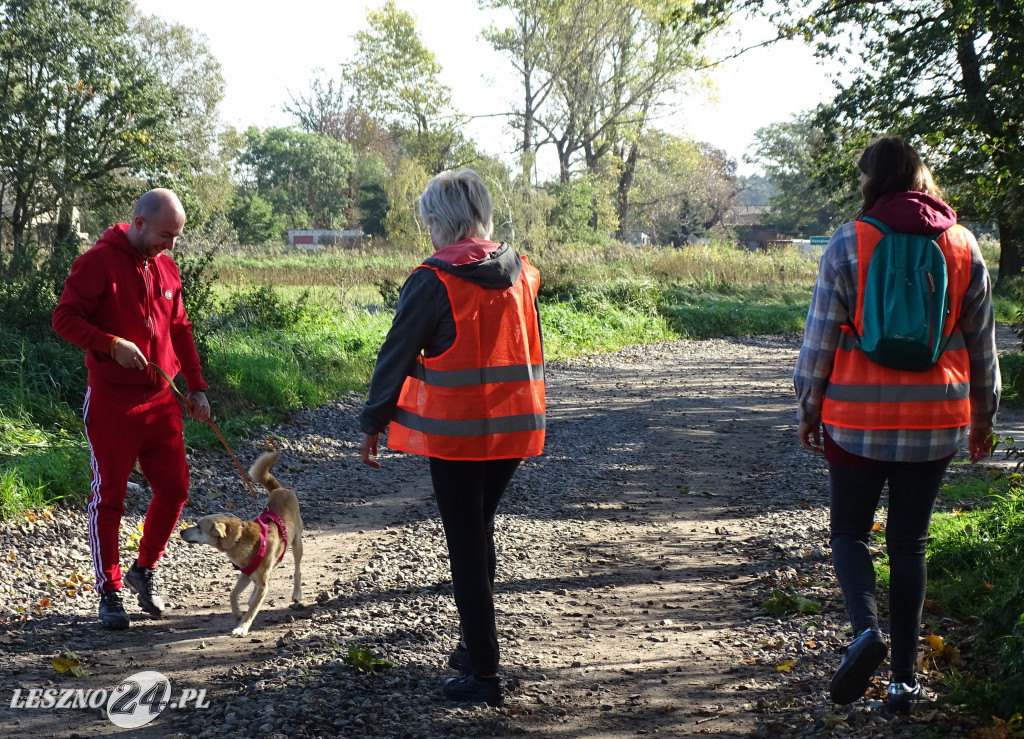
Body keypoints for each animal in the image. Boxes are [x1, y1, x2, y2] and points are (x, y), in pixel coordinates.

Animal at [180, 446, 301, 634]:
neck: (239, 538)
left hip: (297, 544)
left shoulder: (261, 581)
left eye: (199, 526)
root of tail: (280, 490)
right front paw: (237, 613)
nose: (180, 532)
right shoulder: (246, 573)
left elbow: (252, 610)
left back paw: (296, 594)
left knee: (297, 570)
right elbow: (233, 594)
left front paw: (242, 627)